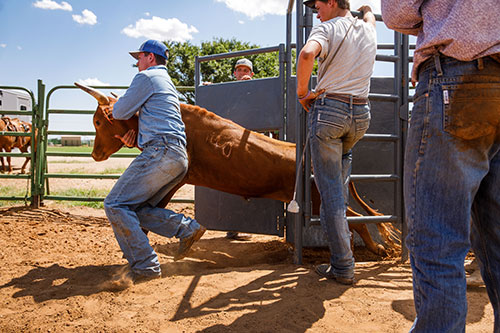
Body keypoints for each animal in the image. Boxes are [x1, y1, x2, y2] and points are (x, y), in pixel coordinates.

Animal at [76, 81, 400, 255]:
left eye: (98, 121)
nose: (94, 154)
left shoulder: (176, 179)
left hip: (319, 200)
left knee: (355, 218)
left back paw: (378, 249)